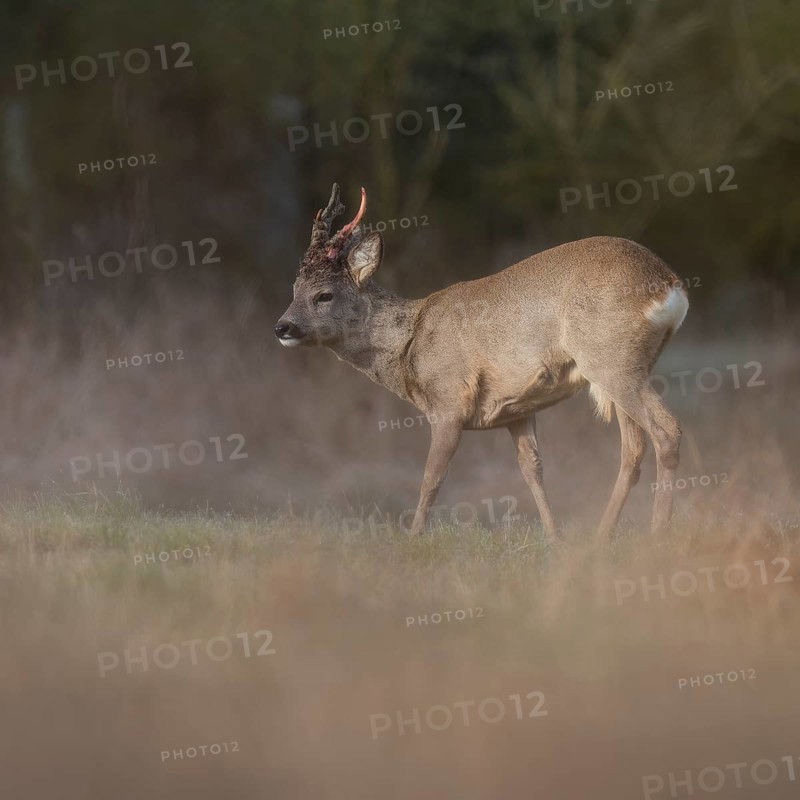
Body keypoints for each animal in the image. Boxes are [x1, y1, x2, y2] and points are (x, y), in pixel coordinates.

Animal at [275, 183, 689, 540]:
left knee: (666, 430)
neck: (408, 345)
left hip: (611, 360)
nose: (283, 326)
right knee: (633, 448)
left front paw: (413, 538)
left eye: (324, 294)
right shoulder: (517, 409)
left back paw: (658, 533)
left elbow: (432, 476)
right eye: (294, 289)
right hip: (622, 368)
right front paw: (554, 538)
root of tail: (670, 284)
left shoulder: (449, 401)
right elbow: (532, 469)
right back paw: (603, 536)